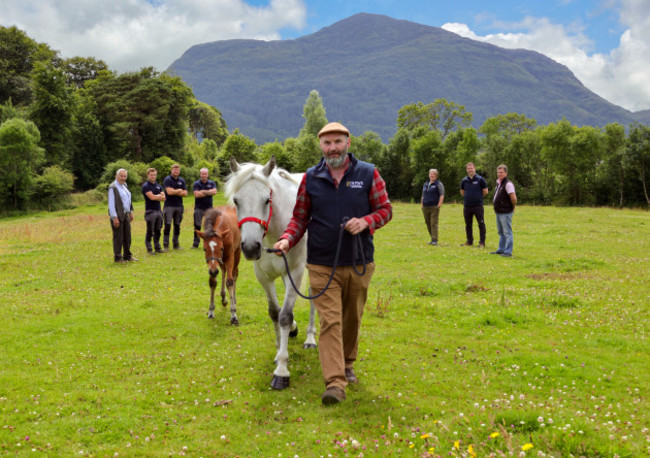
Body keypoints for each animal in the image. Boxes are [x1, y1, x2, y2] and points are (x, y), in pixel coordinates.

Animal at [223, 157, 316, 390]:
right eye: (236, 201)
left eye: (267, 200)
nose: (250, 247)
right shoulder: (264, 277)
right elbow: (275, 312)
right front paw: (279, 349)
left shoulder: (296, 272)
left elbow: (284, 315)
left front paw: (281, 370)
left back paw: (311, 339)